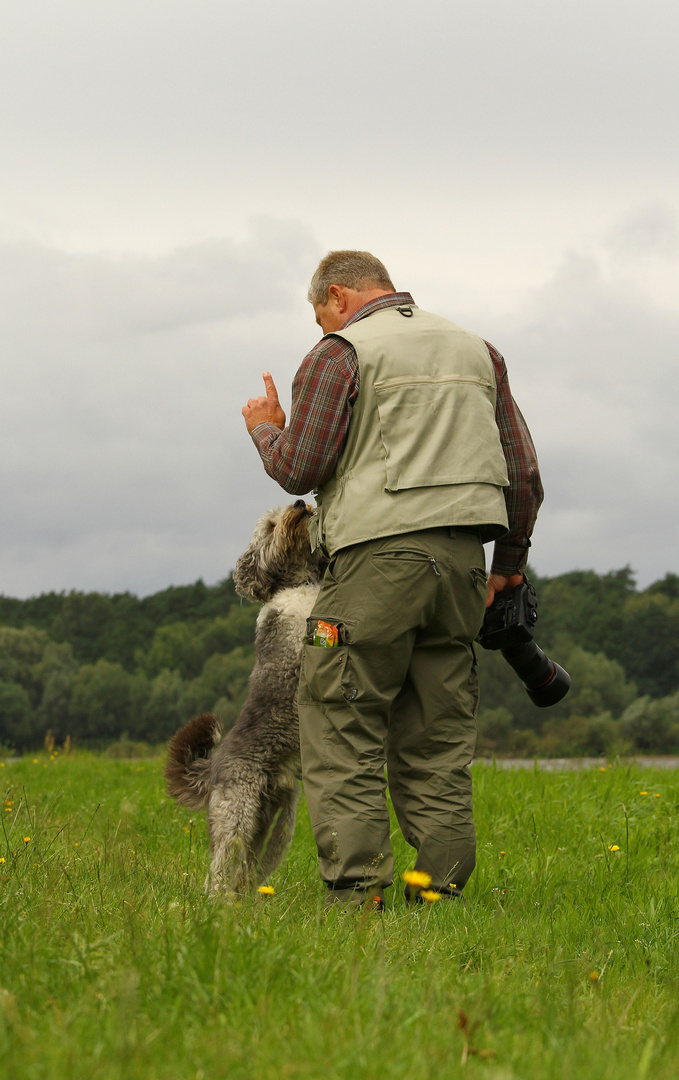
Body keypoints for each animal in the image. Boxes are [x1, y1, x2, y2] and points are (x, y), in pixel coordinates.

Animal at [163, 501, 323, 898]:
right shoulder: (295, 630)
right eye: (269, 526)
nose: (301, 503)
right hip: (236, 812)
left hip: (278, 825)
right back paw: (215, 903)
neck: (301, 584)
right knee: (219, 869)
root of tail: (212, 766)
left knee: (249, 872)